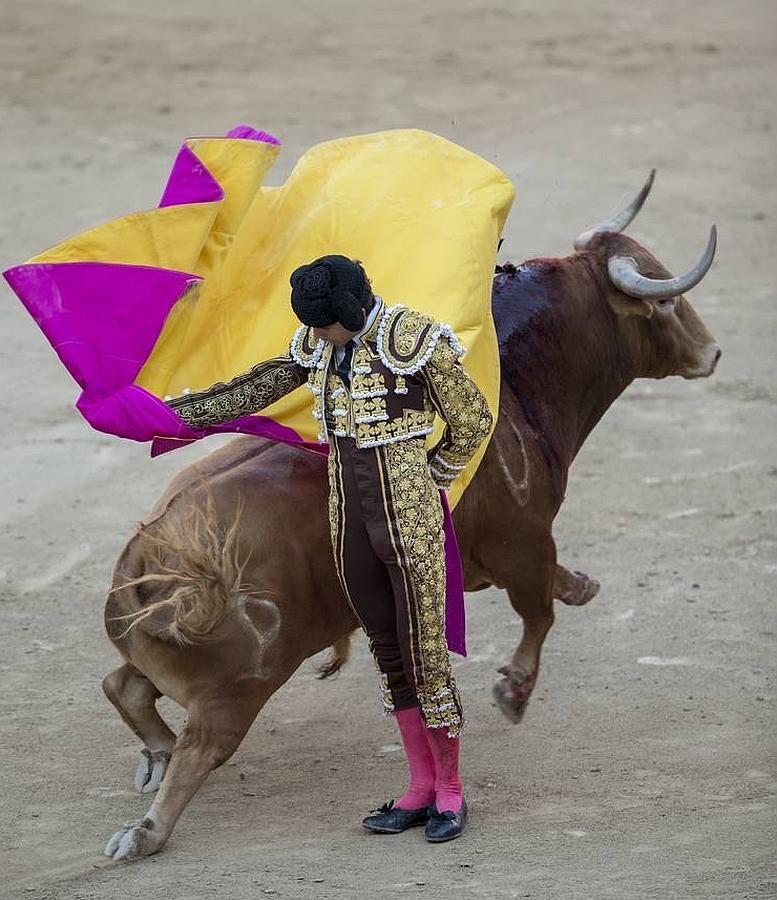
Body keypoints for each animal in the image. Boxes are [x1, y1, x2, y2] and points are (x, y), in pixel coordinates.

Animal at [100, 172, 720, 860]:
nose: (712, 352)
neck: (517, 379)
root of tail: (151, 557)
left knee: (126, 686)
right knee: (199, 746)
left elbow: (554, 593)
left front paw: (583, 587)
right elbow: (538, 614)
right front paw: (513, 691)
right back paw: (146, 830)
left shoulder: (499, 556)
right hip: (236, 693)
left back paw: (153, 760)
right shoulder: (525, 541)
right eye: (664, 304)